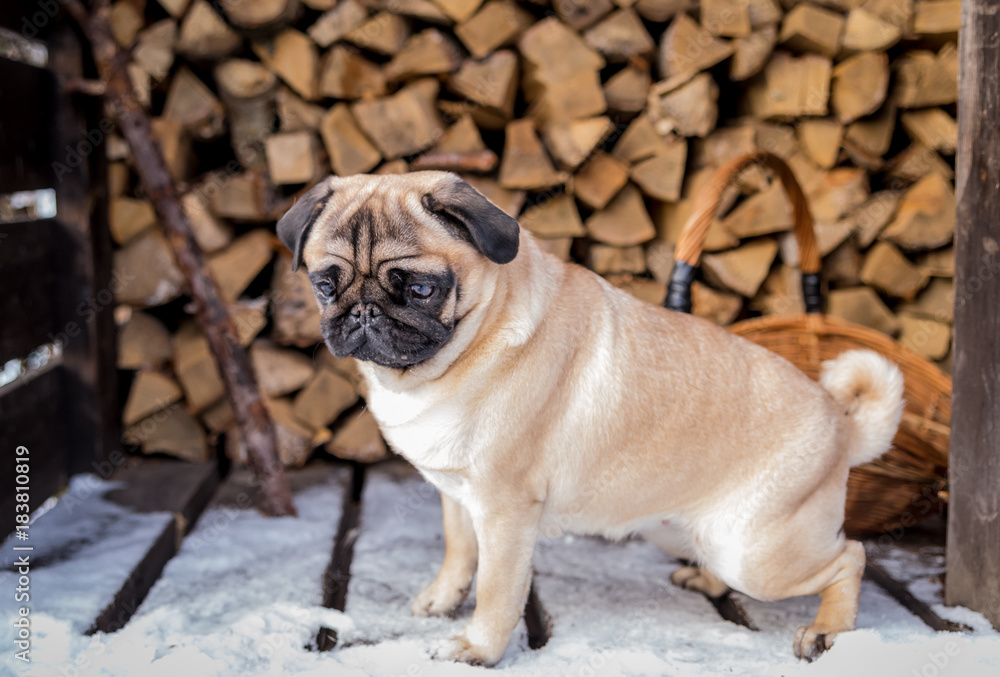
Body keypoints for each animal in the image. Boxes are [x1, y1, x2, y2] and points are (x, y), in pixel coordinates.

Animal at [276, 169, 908, 664]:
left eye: (420, 289)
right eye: (325, 285)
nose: (361, 312)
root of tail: (842, 423)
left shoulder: (505, 510)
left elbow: (497, 588)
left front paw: (477, 647)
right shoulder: (457, 493)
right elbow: (458, 552)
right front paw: (442, 598)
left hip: (754, 551)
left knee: (850, 557)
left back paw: (827, 630)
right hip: (686, 531)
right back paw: (704, 578)